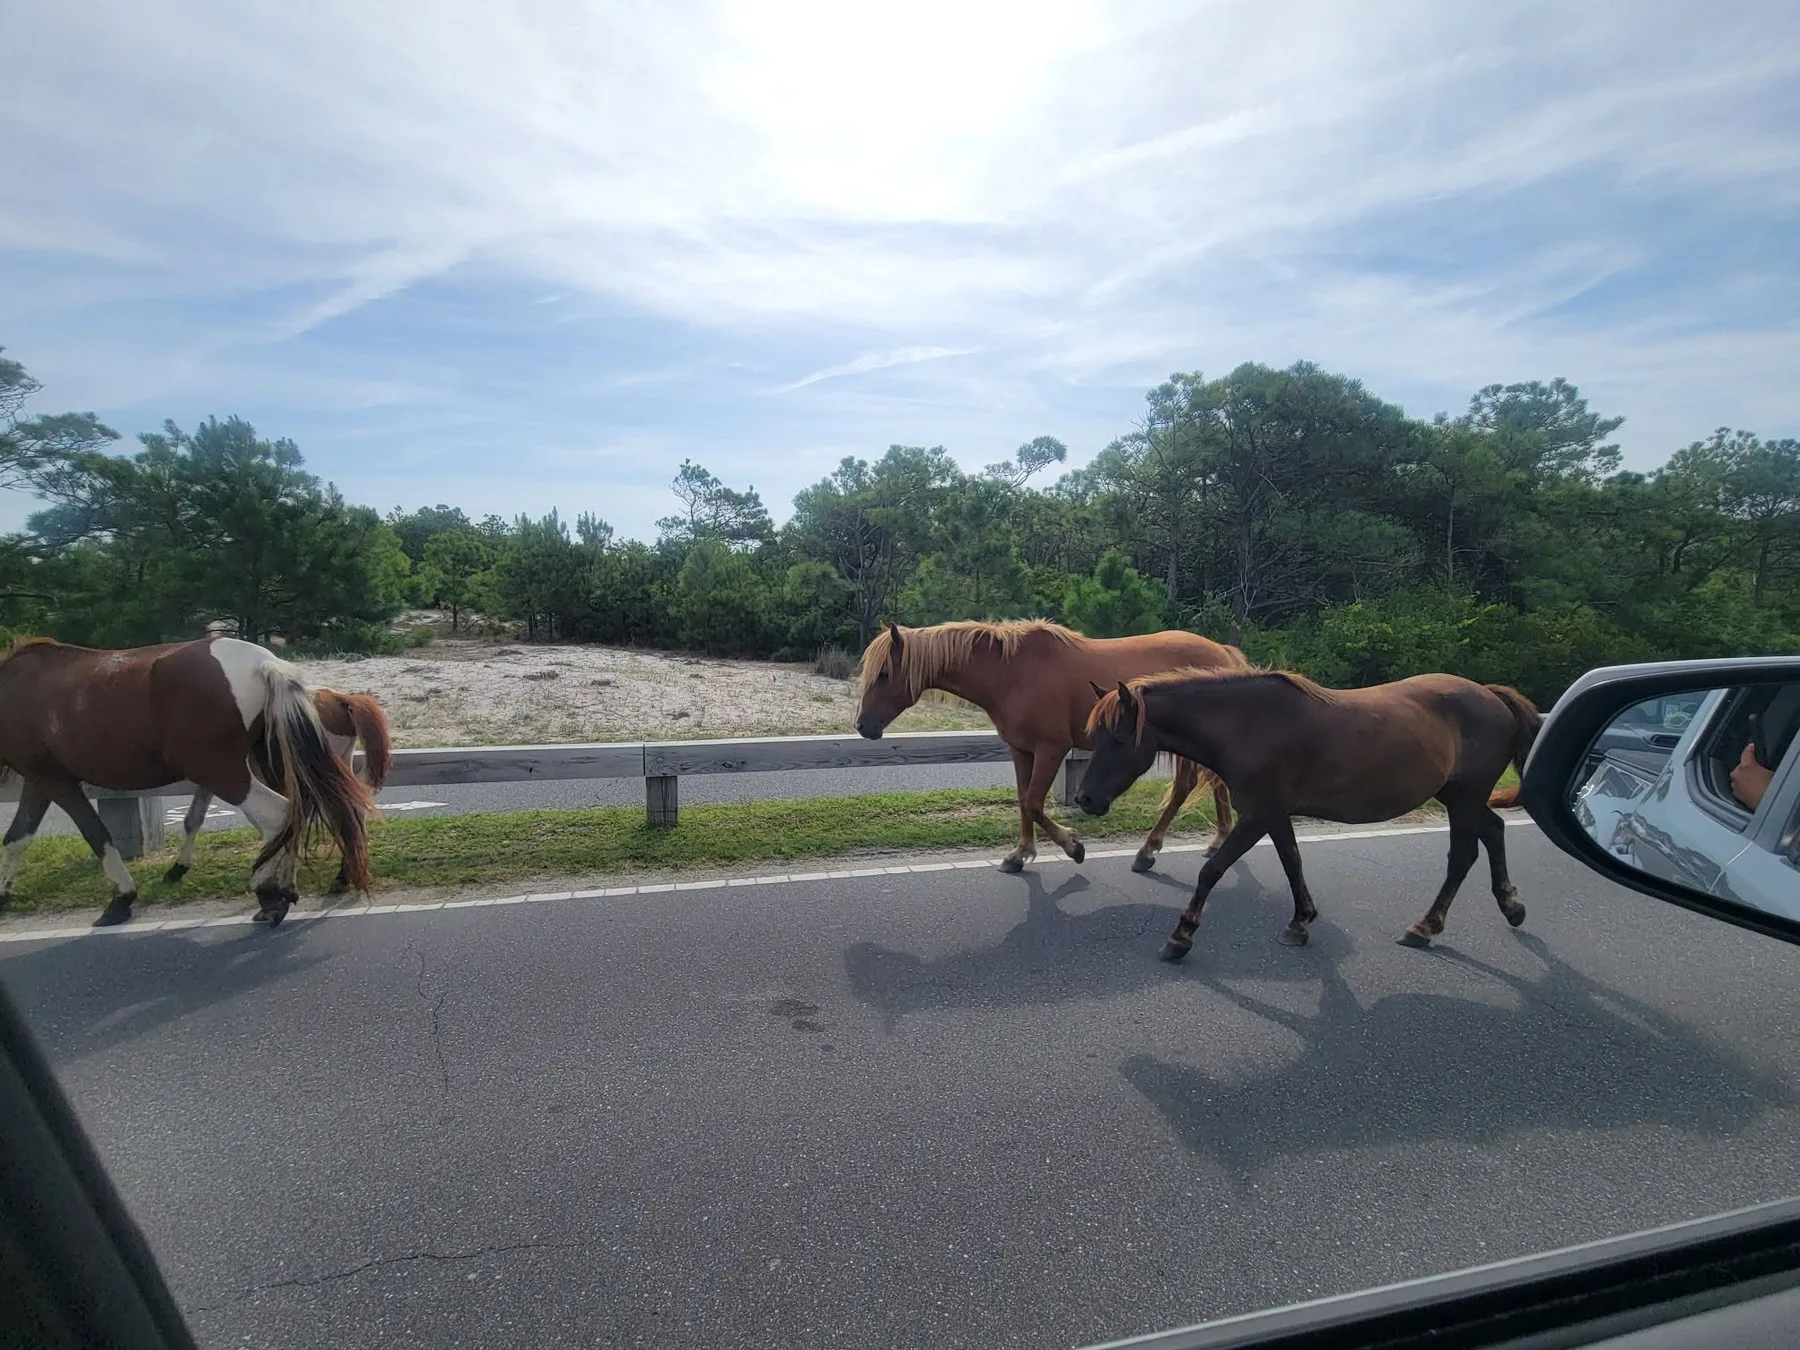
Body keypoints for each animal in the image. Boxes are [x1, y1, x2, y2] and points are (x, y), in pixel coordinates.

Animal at [167, 686, 392, 894]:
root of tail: (340, 699)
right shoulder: (212, 779)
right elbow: (194, 818)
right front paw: (178, 868)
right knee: (354, 812)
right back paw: (344, 875)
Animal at [855, 620, 1245, 874]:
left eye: (884, 673)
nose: (862, 726)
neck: (1011, 673)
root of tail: (1223, 653)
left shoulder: (1051, 749)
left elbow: (1033, 802)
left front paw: (1073, 846)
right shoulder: (1020, 749)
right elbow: (1022, 799)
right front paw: (1019, 854)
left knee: (1185, 787)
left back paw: (1148, 851)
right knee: (1211, 783)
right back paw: (1217, 841)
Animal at [1076, 667, 1540, 959]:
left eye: (1118, 739)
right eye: (1096, 735)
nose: (1085, 799)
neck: (1247, 725)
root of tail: (1491, 695)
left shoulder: (1257, 817)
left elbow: (1212, 871)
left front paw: (1181, 936)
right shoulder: (1275, 815)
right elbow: (1292, 862)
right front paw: (1300, 923)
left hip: (1464, 797)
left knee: (1463, 855)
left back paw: (1426, 927)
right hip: (1459, 797)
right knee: (1493, 830)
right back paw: (1510, 906)